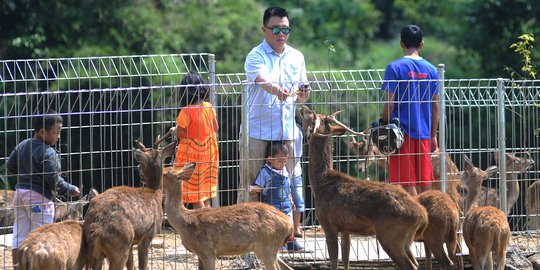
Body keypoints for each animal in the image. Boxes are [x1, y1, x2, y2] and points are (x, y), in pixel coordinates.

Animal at [83, 132, 175, 270]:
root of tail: (95, 230)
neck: (155, 194)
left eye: (141, 164)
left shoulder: (132, 244)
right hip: (120, 248)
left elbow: (131, 265)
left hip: (96, 254)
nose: (140, 174)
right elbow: (142, 265)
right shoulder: (147, 235)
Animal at [161, 162, 294, 270]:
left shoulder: (208, 251)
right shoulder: (199, 254)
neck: (185, 222)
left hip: (267, 245)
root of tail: (289, 224)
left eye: (164, 173)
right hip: (269, 248)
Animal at [298, 106, 428, 270]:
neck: (321, 183)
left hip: (390, 234)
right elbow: (345, 260)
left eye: (309, 117)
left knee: (409, 264)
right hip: (407, 239)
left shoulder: (328, 224)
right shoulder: (345, 229)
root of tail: (422, 215)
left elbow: (334, 261)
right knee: (415, 262)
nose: (302, 107)